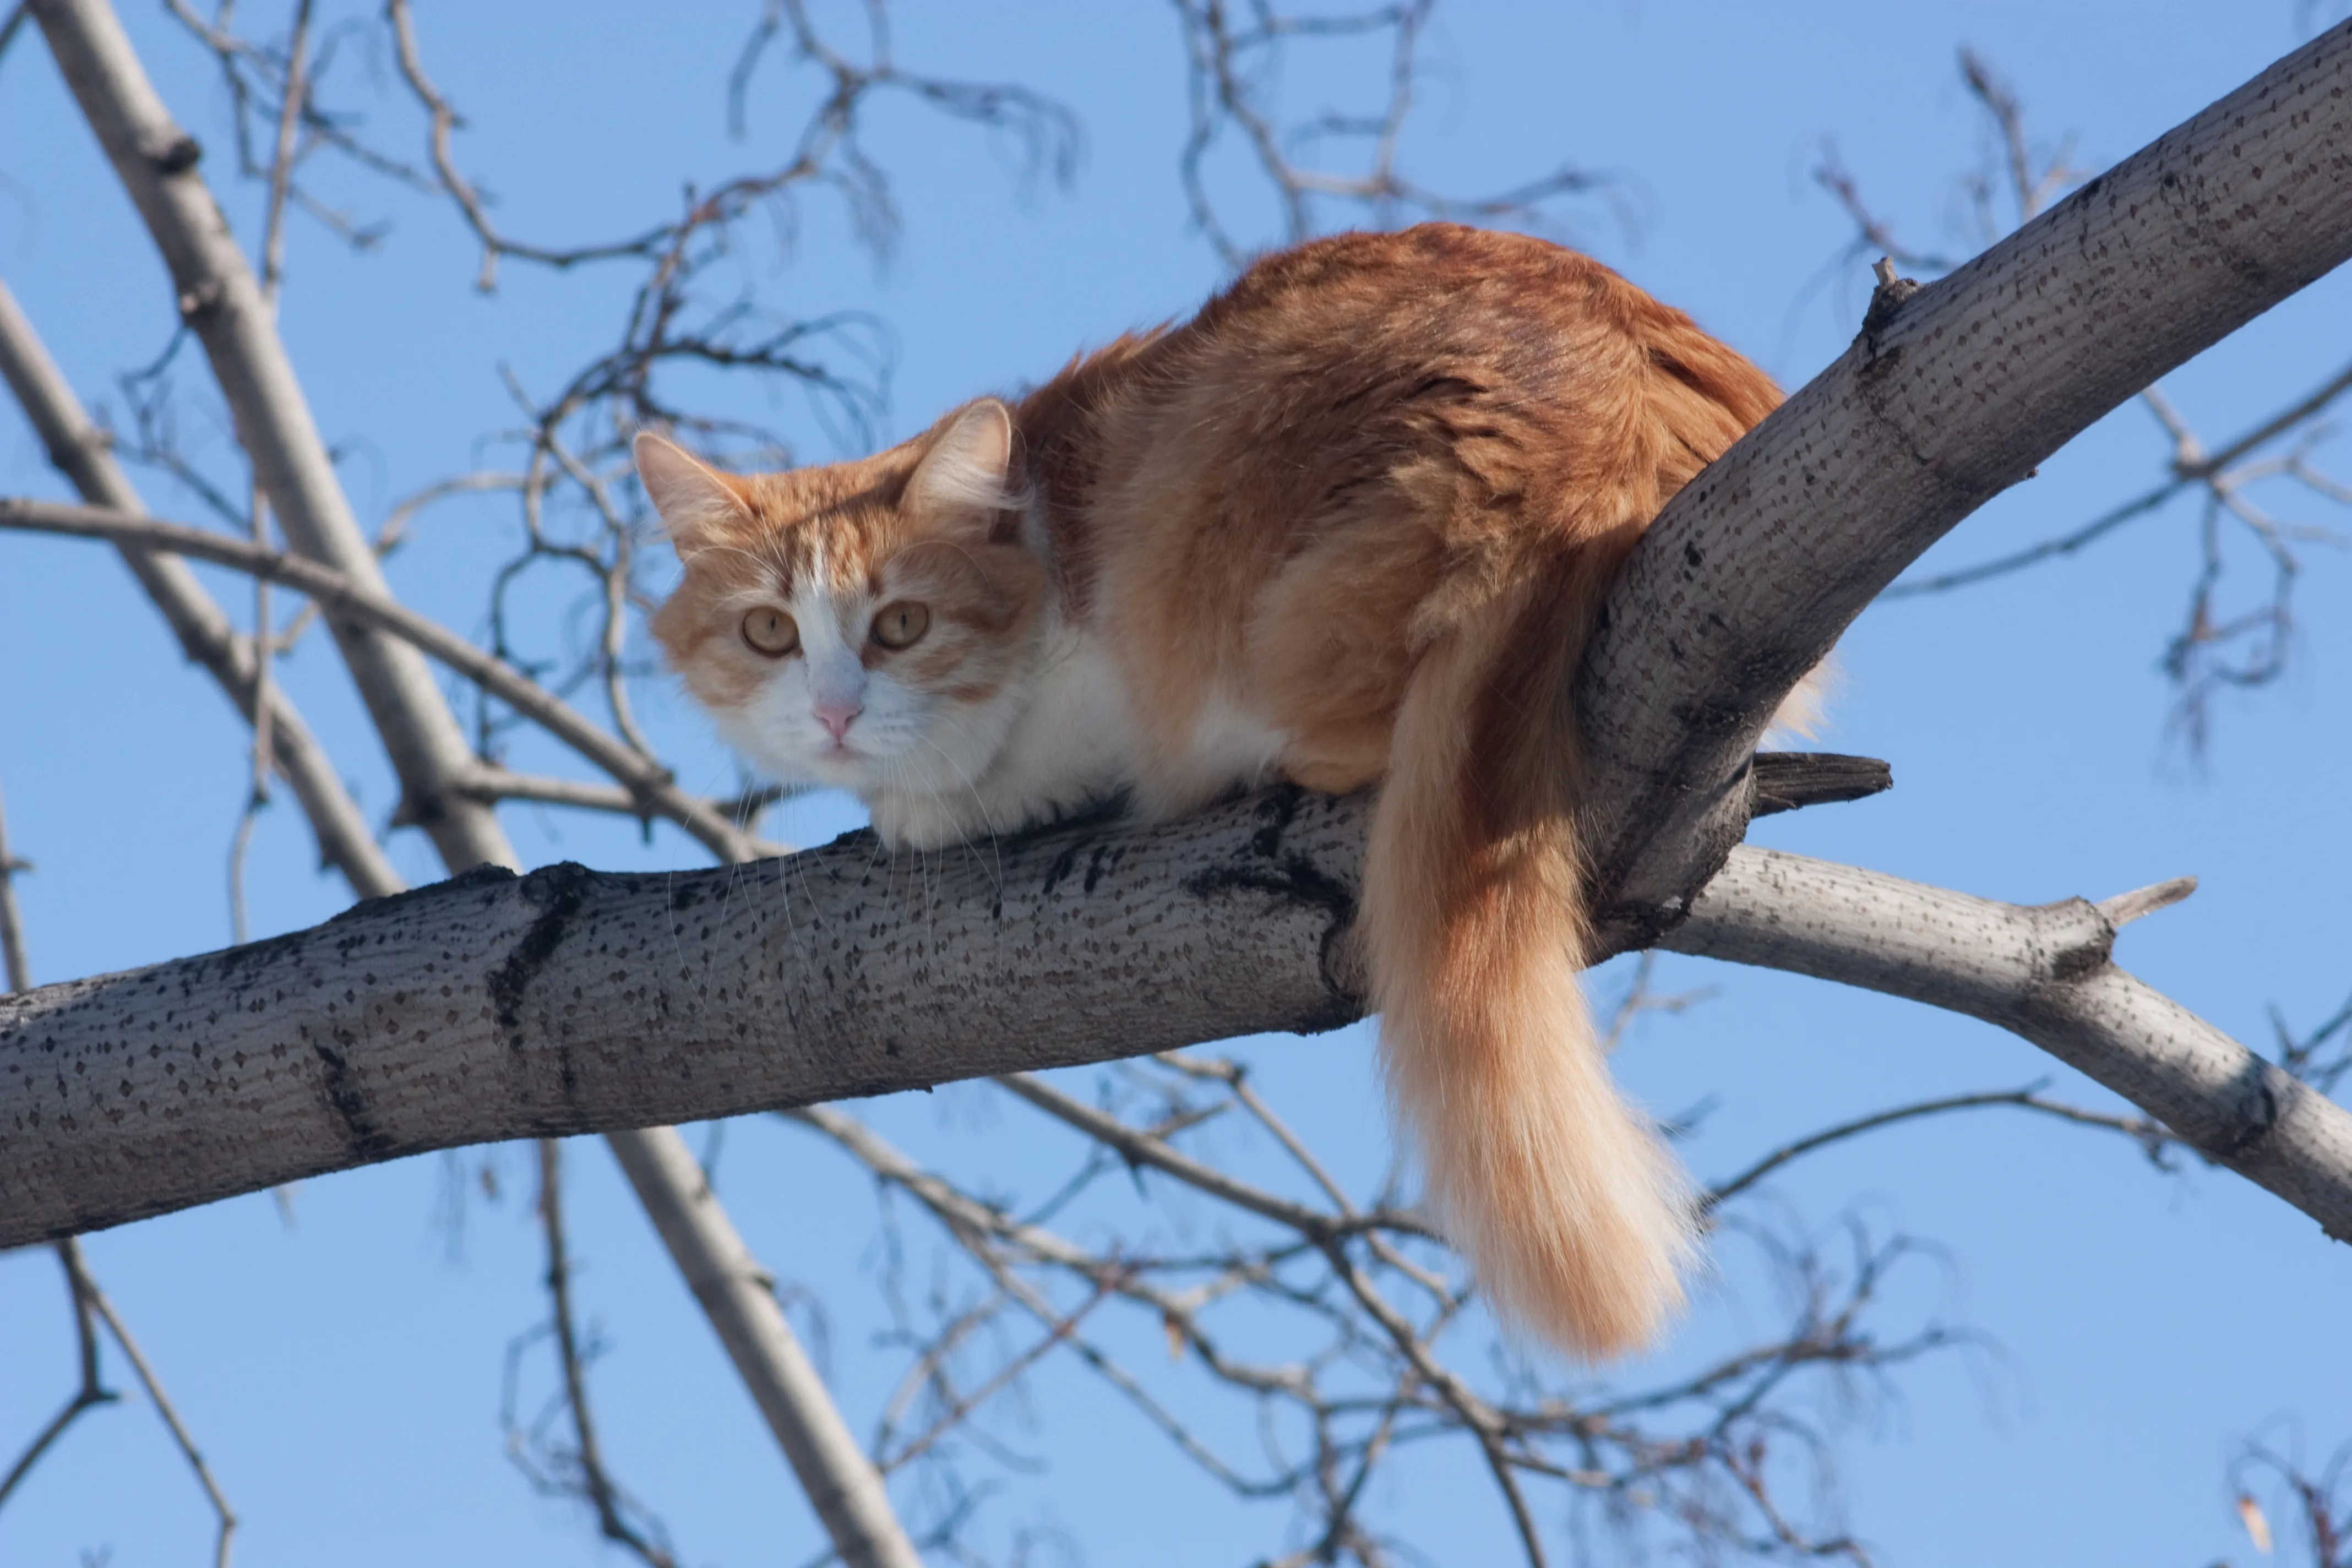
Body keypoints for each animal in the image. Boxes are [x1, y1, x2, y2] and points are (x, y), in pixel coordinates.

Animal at [644, 223, 1778, 1363]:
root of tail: (1592, 408)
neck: (1044, 525)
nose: (834, 711)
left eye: (903, 625)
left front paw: (943, 797)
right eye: (769, 632)